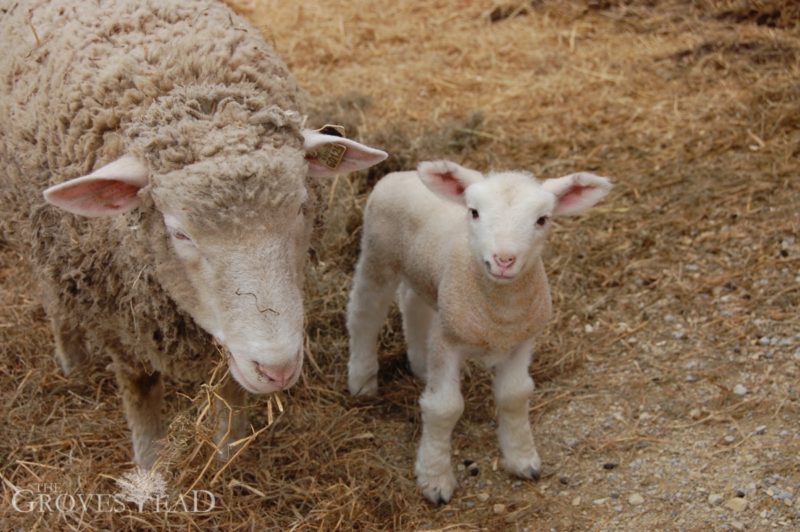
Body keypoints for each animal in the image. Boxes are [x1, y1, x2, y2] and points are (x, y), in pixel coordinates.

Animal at [0, 0, 388, 470]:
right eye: (178, 232)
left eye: (300, 207)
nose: (276, 369)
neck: (184, 82)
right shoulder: (122, 319)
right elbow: (142, 394)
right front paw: (149, 470)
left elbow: (230, 390)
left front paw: (226, 456)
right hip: (40, 234)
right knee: (53, 294)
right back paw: (72, 359)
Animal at [346, 159, 612, 502]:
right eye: (473, 212)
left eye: (542, 219)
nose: (503, 260)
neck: (499, 314)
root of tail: (404, 174)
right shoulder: (448, 341)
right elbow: (444, 408)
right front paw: (434, 479)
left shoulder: (522, 340)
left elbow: (515, 395)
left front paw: (522, 459)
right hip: (378, 254)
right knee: (365, 313)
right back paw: (362, 381)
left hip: (429, 281)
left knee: (412, 303)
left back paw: (420, 365)